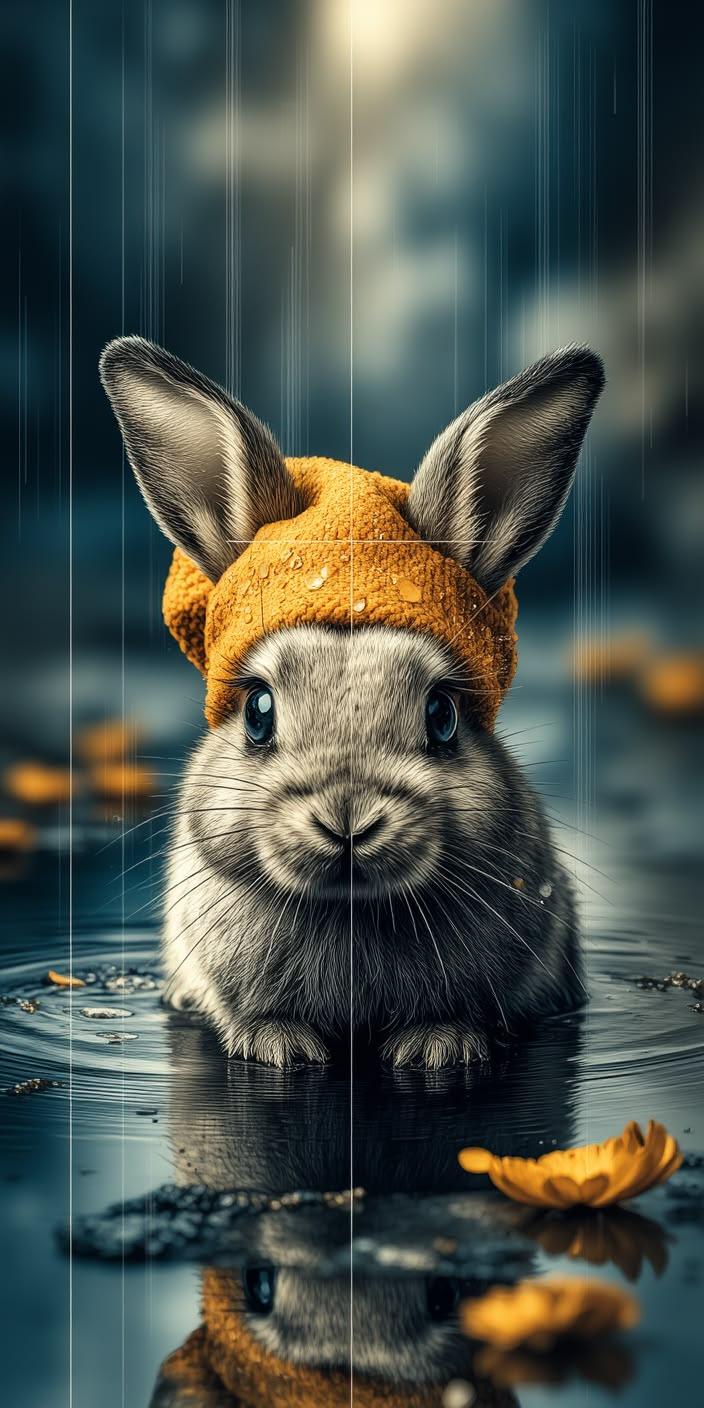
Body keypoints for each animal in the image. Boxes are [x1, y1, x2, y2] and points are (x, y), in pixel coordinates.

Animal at [100, 336, 604, 1070]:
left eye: (442, 716)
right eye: (258, 712)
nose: (347, 820)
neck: (349, 911)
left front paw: (436, 1048)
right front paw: (281, 1047)